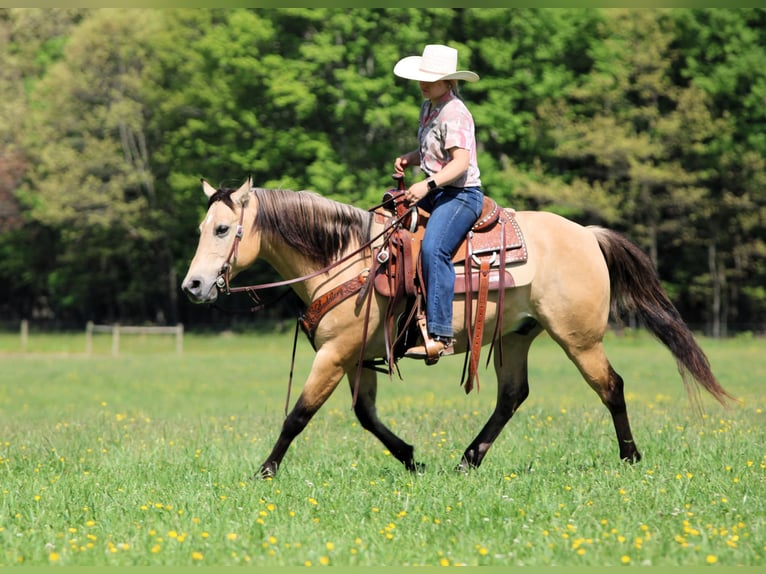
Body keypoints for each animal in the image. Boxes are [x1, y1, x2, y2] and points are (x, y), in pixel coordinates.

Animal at [182, 178, 735, 479]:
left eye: (224, 229)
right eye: (202, 228)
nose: (194, 285)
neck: (347, 258)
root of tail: (587, 234)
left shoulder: (335, 354)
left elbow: (298, 415)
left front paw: (265, 471)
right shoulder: (358, 357)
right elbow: (366, 416)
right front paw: (412, 459)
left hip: (579, 339)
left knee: (611, 386)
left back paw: (630, 457)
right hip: (516, 337)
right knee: (512, 396)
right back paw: (468, 459)